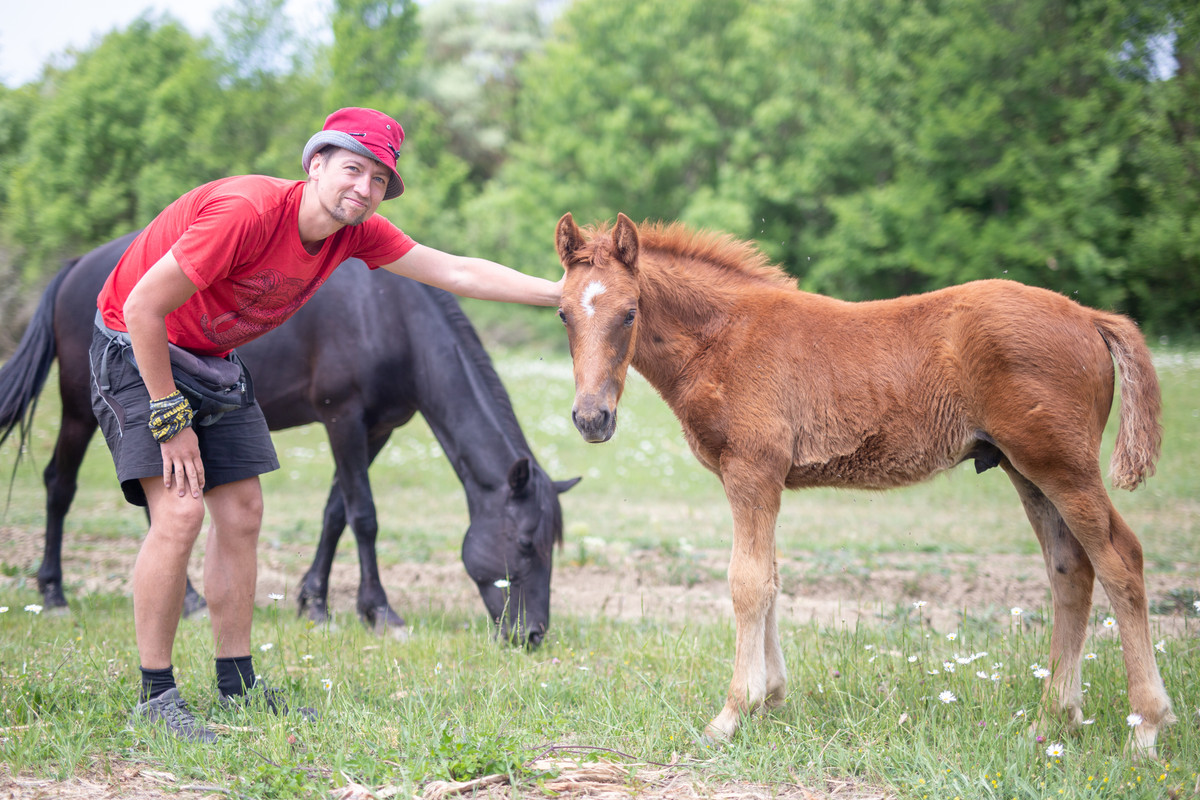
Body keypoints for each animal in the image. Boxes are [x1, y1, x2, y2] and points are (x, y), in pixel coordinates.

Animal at [0, 231, 580, 642]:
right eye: (524, 543)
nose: (532, 634)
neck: (388, 314)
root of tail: (76, 268)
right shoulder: (342, 419)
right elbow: (364, 516)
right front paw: (379, 611)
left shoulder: (377, 430)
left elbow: (335, 514)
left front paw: (315, 603)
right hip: (80, 411)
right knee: (59, 485)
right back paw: (55, 594)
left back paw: (188, 600)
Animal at [556, 212, 1176, 758]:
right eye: (563, 314)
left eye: (630, 312)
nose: (591, 419)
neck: (724, 337)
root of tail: (1089, 316)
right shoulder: (766, 480)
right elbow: (771, 578)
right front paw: (771, 701)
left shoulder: (751, 471)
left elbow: (747, 582)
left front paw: (732, 714)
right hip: (1026, 470)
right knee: (1071, 571)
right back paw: (1052, 719)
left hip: (1063, 466)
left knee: (1122, 561)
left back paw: (1146, 725)